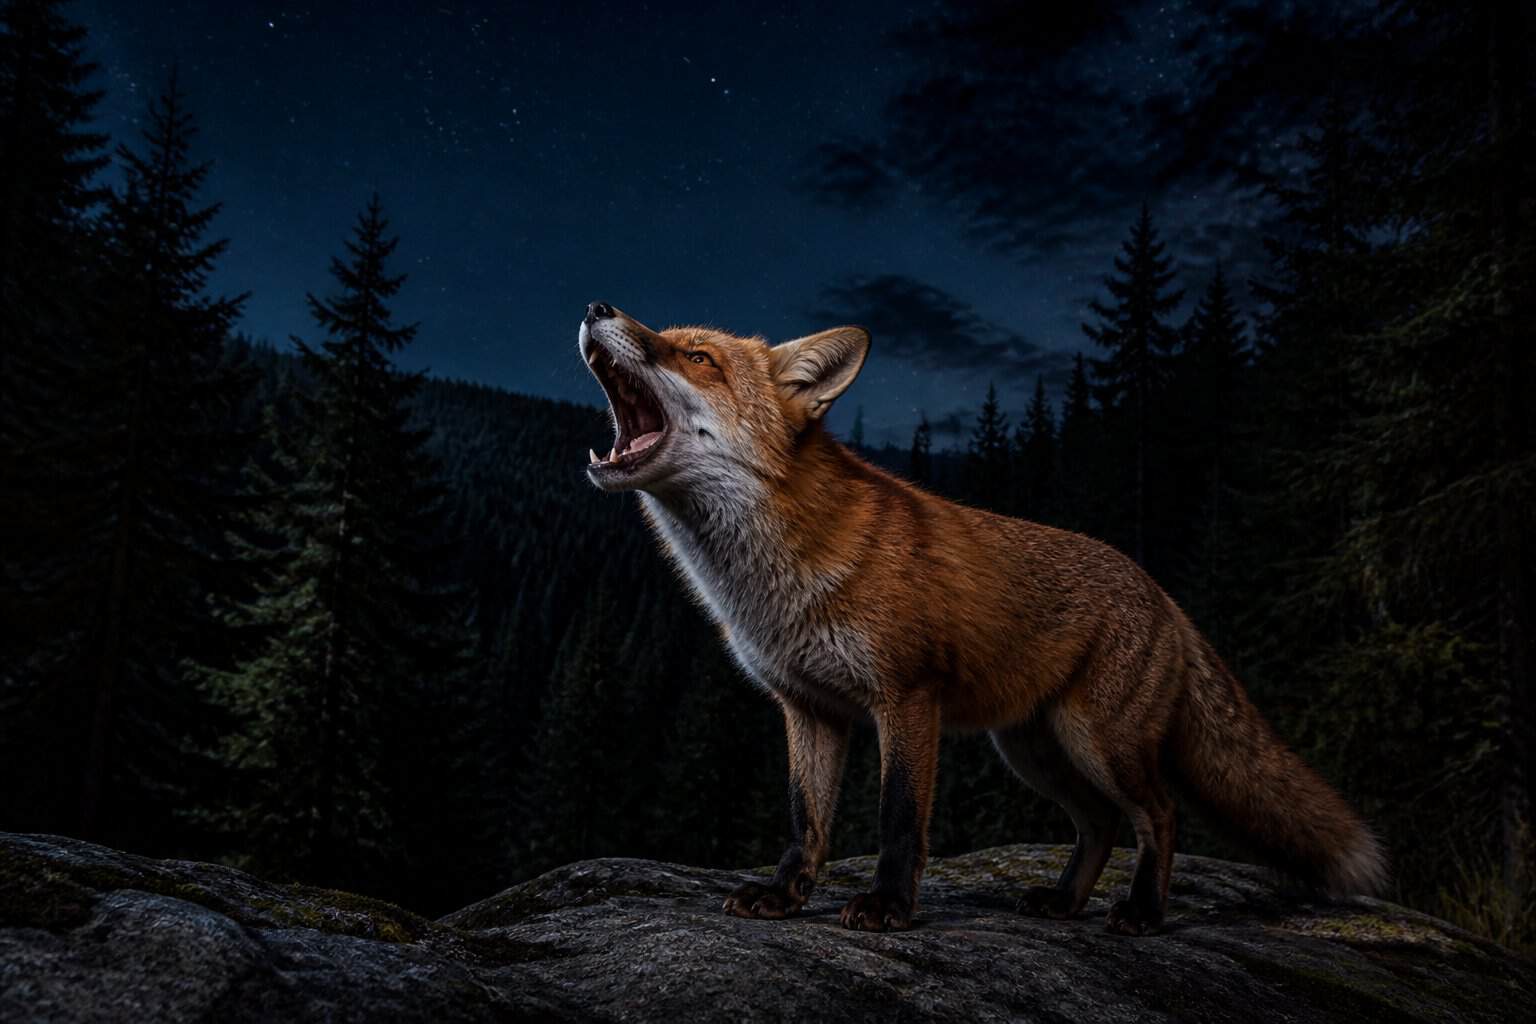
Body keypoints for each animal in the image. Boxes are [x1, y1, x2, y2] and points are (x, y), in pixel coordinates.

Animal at [576, 300, 1387, 935]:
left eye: (698, 356)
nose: (596, 306)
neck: (768, 579)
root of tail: (1162, 593)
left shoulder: (907, 696)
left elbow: (900, 819)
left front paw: (888, 907)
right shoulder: (809, 709)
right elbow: (806, 821)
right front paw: (784, 895)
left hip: (1099, 742)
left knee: (1158, 815)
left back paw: (1143, 913)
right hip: (1034, 750)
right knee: (1100, 825)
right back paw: (1064, 903)